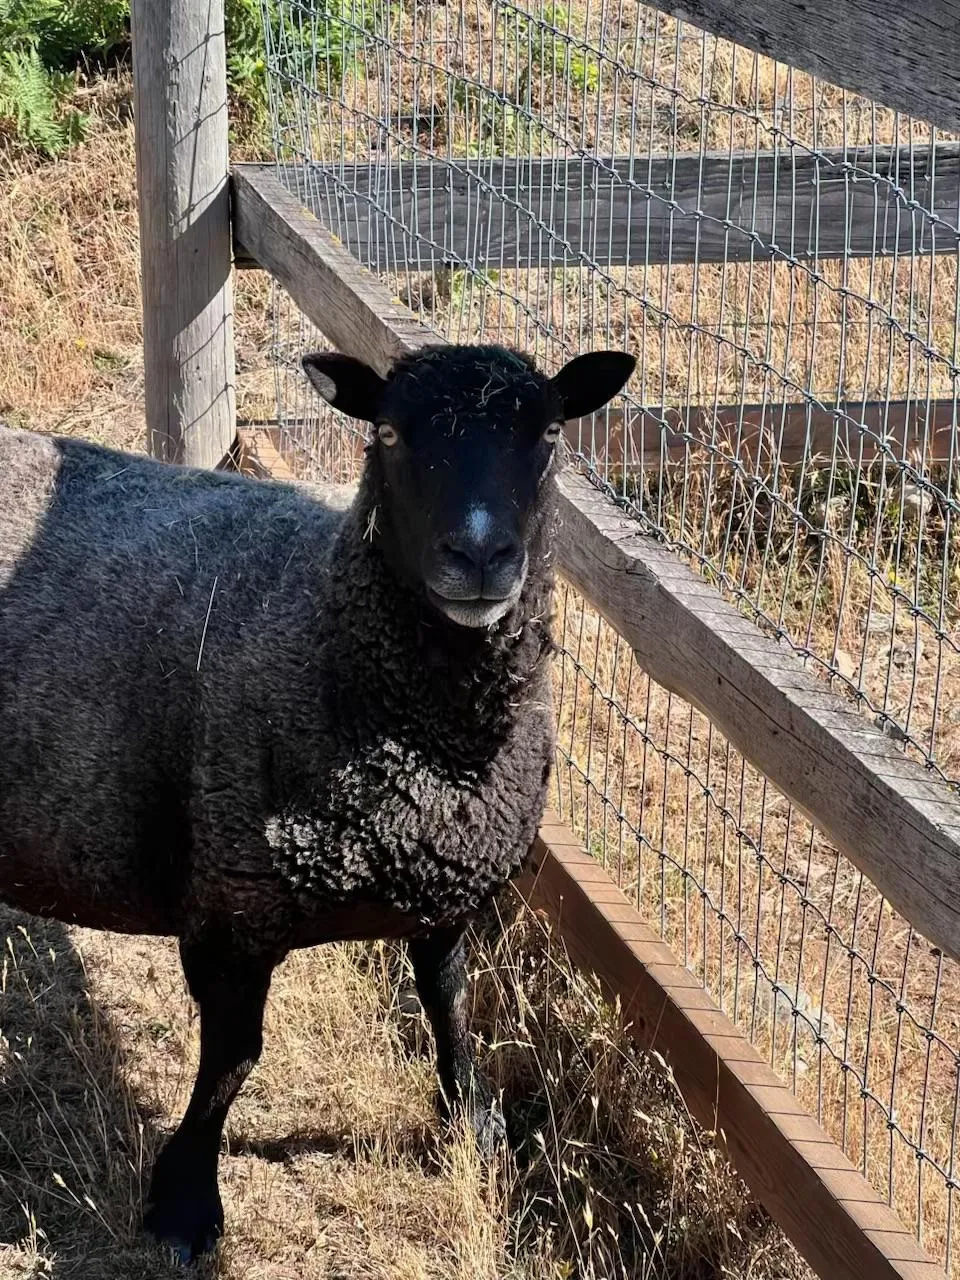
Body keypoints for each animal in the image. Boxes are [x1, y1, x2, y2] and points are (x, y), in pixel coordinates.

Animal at [0, 342, 635, 1263]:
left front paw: (472, 1121)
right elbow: (232, 1061)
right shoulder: (231, 909)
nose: (479, 555)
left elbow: (449, 1000)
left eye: (549, 432)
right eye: (389, 432)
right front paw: (185, 1204)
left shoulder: (447, 886)